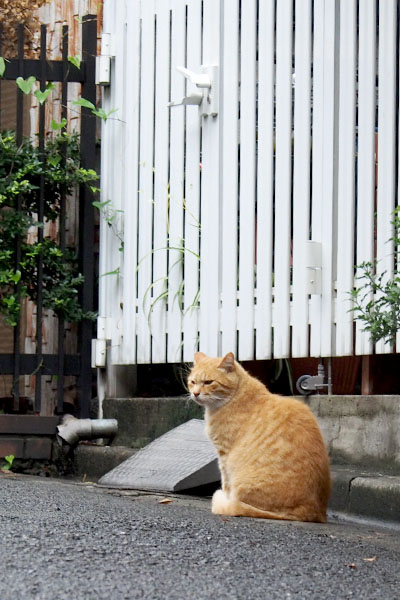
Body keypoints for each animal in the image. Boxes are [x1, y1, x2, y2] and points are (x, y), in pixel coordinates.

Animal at [188, 352, 332, 520]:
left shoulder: (224, 455)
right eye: (192, 382)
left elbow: (225, 482)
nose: (195, 393)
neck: (235, 394)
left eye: (208, 382)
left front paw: (226, 498)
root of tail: (312, 510)